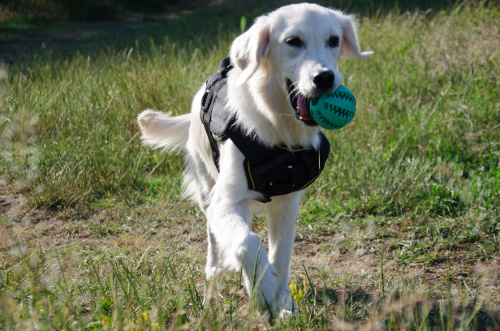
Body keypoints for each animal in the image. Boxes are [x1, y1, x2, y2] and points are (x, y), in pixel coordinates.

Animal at [137, 1, 372, 320]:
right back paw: (215, 272)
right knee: (217, 236)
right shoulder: (226, 201)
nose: (325, 78)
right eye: (293, 41)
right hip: (207, 188)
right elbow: (247, 242)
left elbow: (280, 256)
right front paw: (265, 292)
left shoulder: (288, 203)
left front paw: (280, 300)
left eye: (333, 40)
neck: (278, 129)